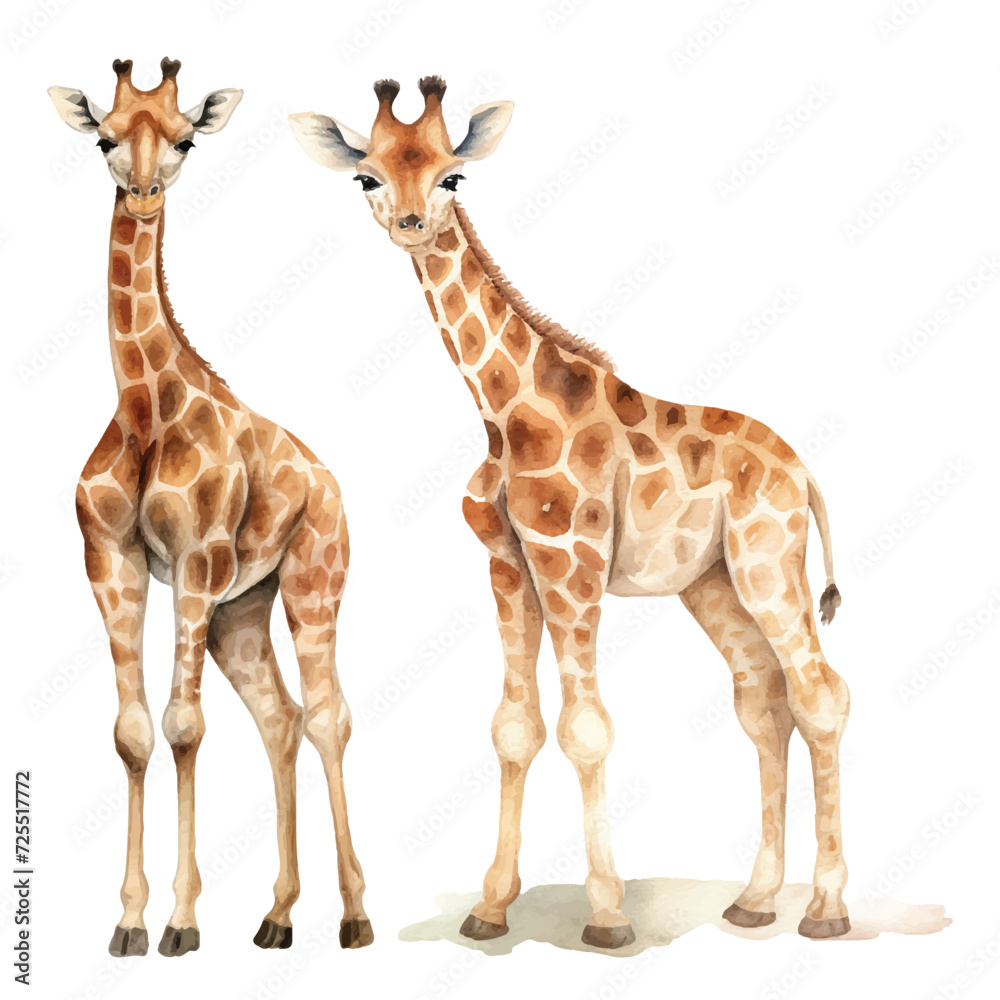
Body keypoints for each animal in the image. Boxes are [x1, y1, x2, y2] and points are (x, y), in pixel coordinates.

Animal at [49, 59, 372, 957]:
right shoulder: (112, 566)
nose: (144, 194)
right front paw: (129, 922)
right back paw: (277, 915)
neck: (144, 412)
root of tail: (330, 483)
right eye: (104, 137)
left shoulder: (195, 564)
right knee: (281, 718)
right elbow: (132, 731)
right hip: (241, 612)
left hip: (310, 582)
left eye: (186, 136)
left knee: (328, 716)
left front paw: (183, 922)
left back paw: (354, 914)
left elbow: (184, 725)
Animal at [290, 77, 852, 949]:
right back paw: (756, 900)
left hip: (769, 563)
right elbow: (513, 727)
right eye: (367, 177)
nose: (412, 223)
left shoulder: (571, 558)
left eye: (452, 175)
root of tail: (806, 473)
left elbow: (585, 727)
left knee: (822, 694)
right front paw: (490, 908)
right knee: (765, 701)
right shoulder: (507, 563)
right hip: (713, 583)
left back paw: (826, 909)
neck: (504, 410)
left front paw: (609, 915)